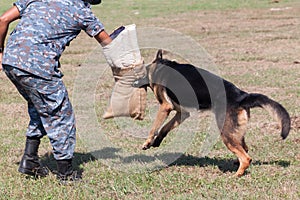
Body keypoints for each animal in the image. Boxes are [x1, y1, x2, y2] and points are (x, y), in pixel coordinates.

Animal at [139, 49, 290, 176]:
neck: (157, 67)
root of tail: (242, 96)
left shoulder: (165, 106)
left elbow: (155, 127)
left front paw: (147, 142)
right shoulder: (182, 113)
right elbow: (165, 127)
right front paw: (157, 141)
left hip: (226, 133)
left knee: (246, 158)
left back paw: (236, 175)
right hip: (236, 132)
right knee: (245, 149)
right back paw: (236, 164)